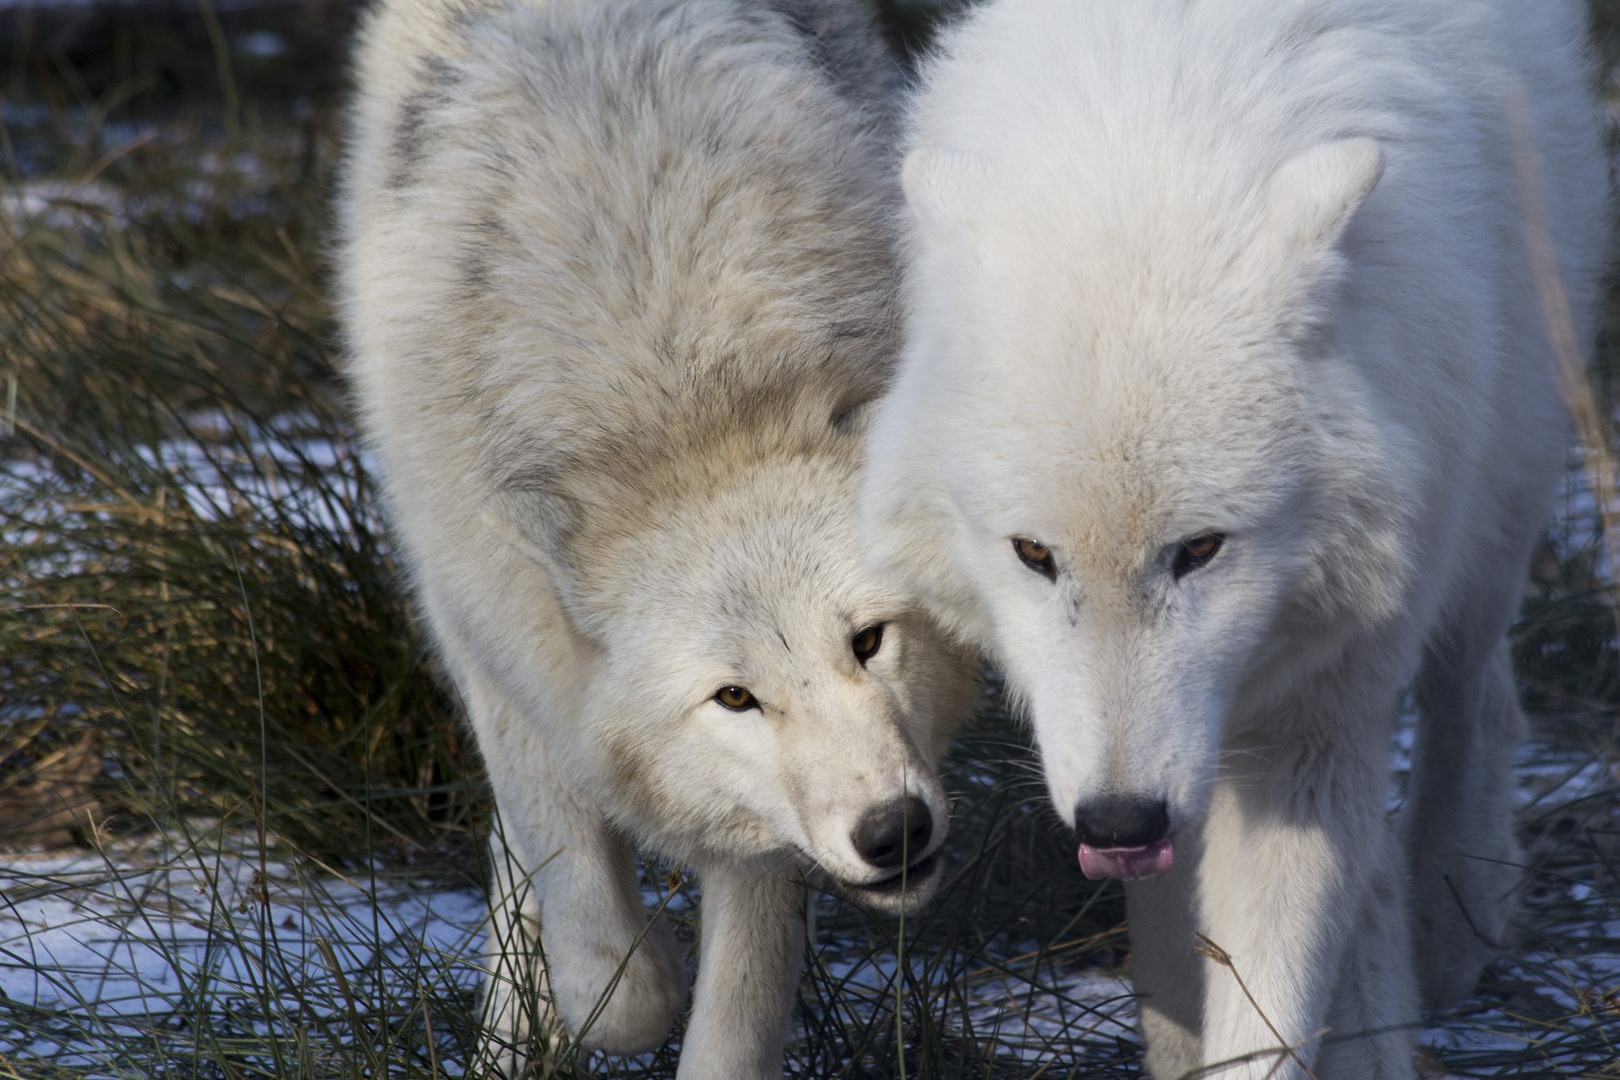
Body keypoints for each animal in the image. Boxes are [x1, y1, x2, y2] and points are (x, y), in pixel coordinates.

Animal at [338, 4, 972, 1075]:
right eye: (734, 698)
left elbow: (736, 1009)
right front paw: (615, 985)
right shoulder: (499, 640)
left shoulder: (760, 834)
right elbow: (617, 980)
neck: (680, 391)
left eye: (870, 641)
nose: (893, 831)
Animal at [861, 2, 1607, 1080]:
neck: (1148, 148)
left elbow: (1266, 1006)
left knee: (1473, 694)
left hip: (1500, 484)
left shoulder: (1310, 721)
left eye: (1201, 550)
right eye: (1035, 557)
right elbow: (1182, 957)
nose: (1119, 820)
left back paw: (1451, 916)